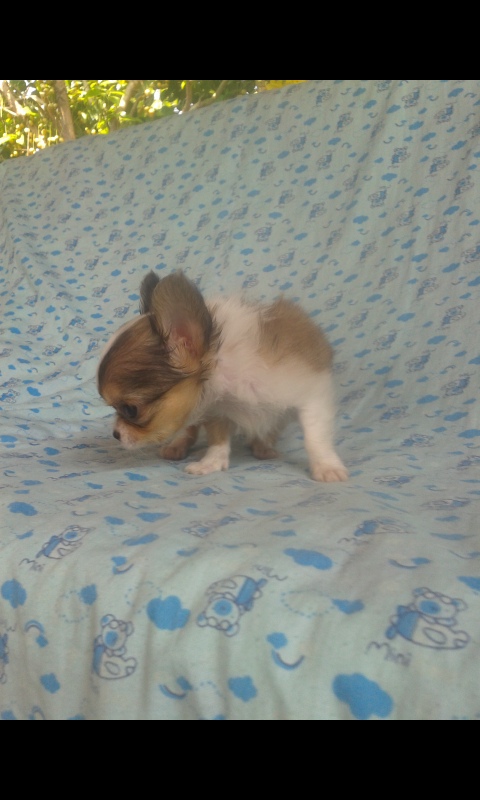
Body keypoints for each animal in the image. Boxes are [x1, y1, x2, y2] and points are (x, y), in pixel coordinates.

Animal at [97, 271, 348, 482]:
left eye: (130, 410)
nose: (116, 434)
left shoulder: (312, 393)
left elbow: (315, 436)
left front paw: (326, 466)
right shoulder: (216, 410)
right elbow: (217, 441)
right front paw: (211, 463)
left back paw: (263, 445)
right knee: (189, 429)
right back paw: (178, 445)